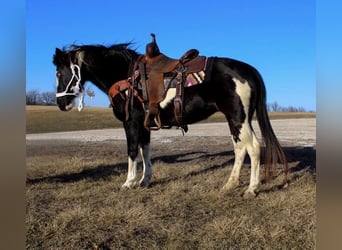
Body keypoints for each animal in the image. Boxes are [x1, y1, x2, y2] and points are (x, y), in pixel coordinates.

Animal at [53, 41, 288, 198]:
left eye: (59, 73)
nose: (61, 104)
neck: (126, 77)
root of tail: (247, 69)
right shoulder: (145, 125)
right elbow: (145, 151)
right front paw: (145, 180)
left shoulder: (131, 123)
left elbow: (132, 151)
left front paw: (128, 182)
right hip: (235, 120)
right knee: (240, 149)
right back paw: (229, 185)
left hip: (239, 118)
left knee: (254, 147)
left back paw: (251, 188)